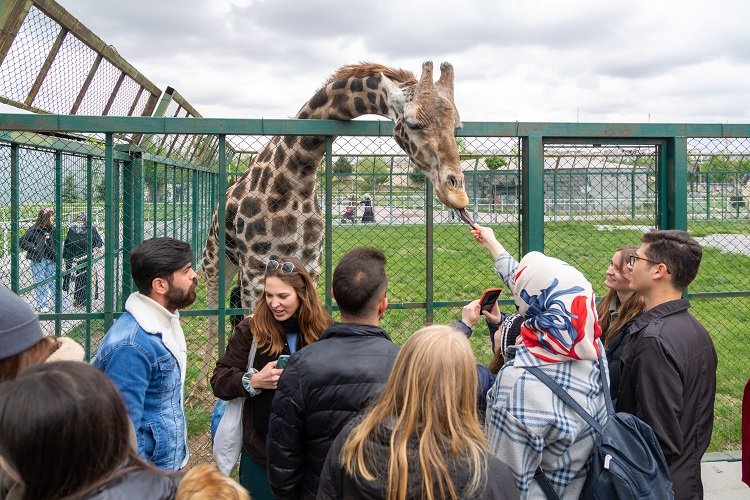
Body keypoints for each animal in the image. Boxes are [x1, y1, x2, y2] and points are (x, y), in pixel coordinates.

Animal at [203, 59, 468, 324]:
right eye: (413, 123)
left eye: (457, 126)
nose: (458, 194)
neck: (296, 177)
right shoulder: (256, 270)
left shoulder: (309, 266)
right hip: (214, 261)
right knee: (213, 313)